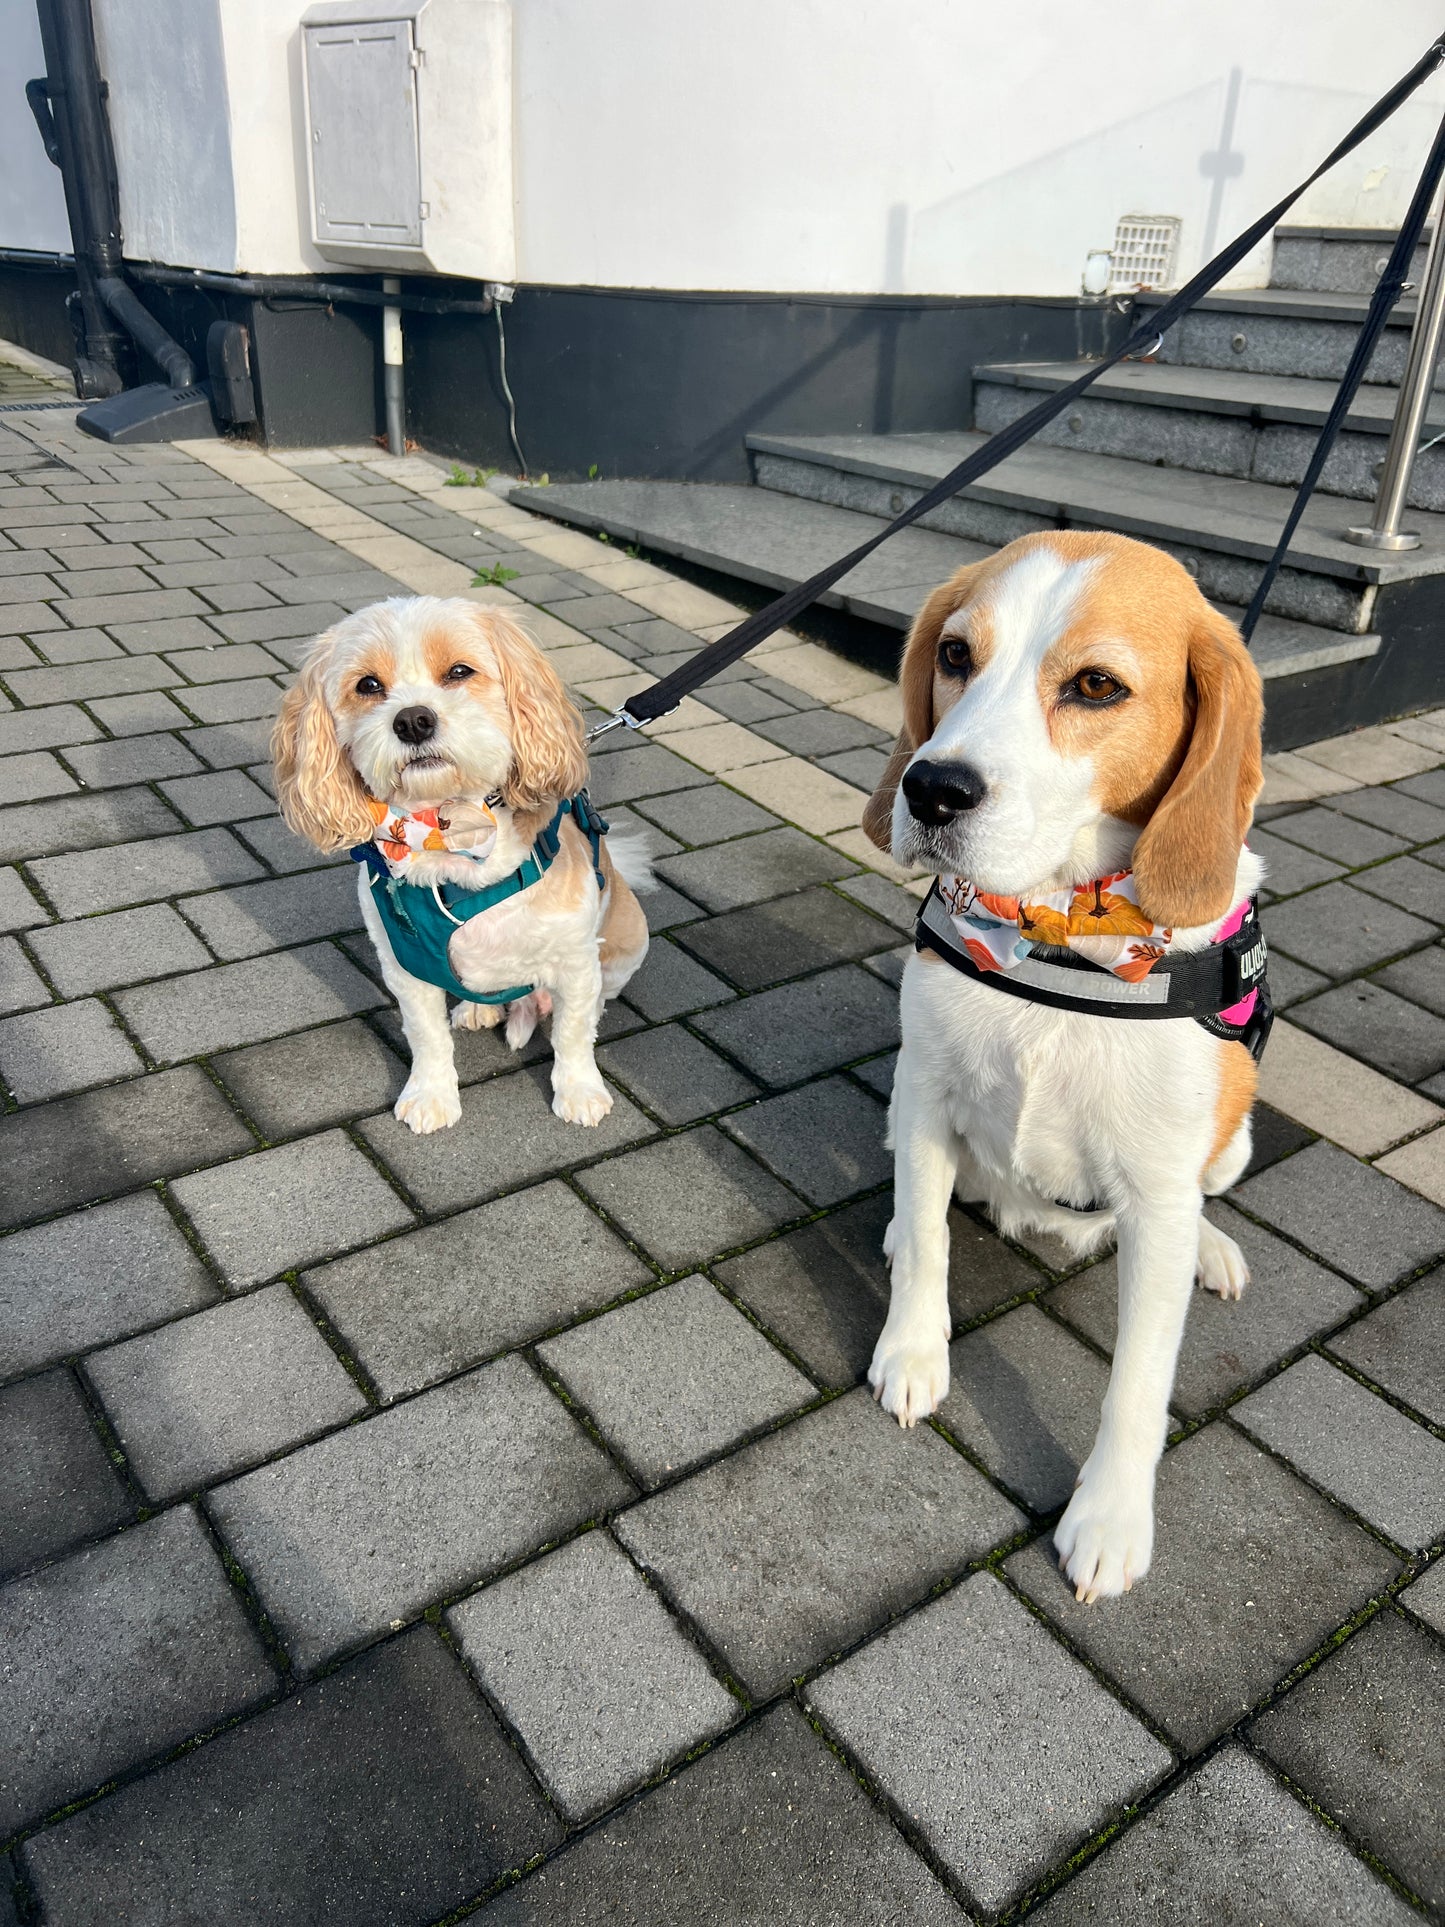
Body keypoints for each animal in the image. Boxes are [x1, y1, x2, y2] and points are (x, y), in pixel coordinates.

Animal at [269, 593, 651, 1125]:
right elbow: (426, 1037)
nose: (413, 720)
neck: (447, 832)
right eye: (368, 685)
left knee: (589, 1002)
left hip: (628, 944)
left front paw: (579, 1090)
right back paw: (477, 1008)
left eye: (459, 671)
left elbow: (573, 1034)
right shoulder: (407, 967)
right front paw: (430, 1095)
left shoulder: (576, 960)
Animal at [870, 527, 1263, 1595]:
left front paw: (1110, 1518)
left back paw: (1212, 1249)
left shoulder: (1160, 1191)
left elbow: (1138, 1380)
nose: (930, 787)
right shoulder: (925, 1094)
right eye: (955, 654)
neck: (1057, 938)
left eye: (1095, 686)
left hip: (1233, 1141)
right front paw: (911, 1351)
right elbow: (931, 1244)